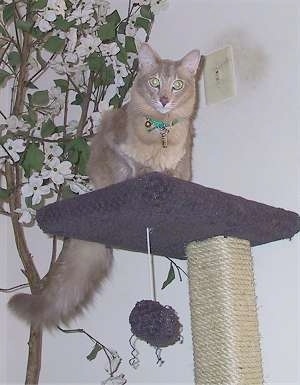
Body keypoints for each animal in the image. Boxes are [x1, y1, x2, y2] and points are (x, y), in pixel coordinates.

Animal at [8, 42, 202, 328]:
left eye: (177, 85)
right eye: (155, 82)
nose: (164, 99)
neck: (161, 129)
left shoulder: (182, 161)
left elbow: (174, 173)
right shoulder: (116, 145)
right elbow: (134, 168)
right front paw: (146, 179)